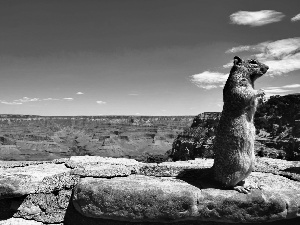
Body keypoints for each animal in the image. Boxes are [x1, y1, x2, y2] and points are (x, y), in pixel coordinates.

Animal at [212, 55, 268, 193]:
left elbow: (255, 103)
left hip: (251, 165)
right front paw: (260, 91)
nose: (268, 67)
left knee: (240, 180)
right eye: (253, 62)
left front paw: (264, 97)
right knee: (228, 184)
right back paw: (240, 187)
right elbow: (246, 93)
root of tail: (214, 175)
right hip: (239, 166)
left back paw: (249, 184)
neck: (251, 79)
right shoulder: (238, 86)